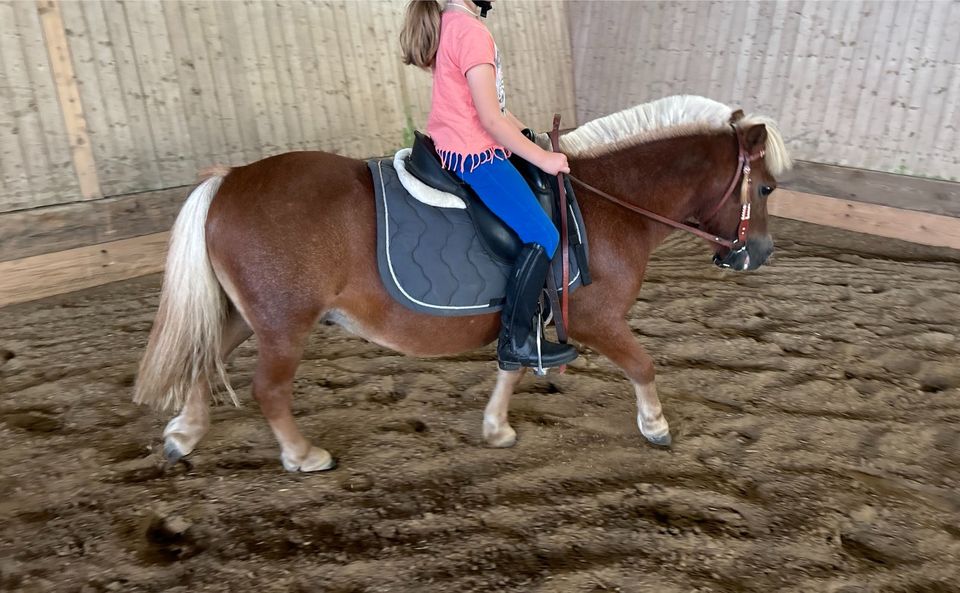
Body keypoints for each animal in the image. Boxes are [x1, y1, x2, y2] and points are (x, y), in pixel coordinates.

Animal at [137, 95, 796, 470]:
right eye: (764, 188)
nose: (759, 255)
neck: (608, 202)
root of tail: (229, 179)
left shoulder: (524, 314)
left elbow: (511, 366)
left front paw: (496, 427)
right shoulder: (597, 319)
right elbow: (642, 364)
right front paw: (656, 426)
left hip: (245, 315)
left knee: (202, 357)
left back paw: (183, 435)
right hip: (283, 323)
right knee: (269, 390)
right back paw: (302, 455)